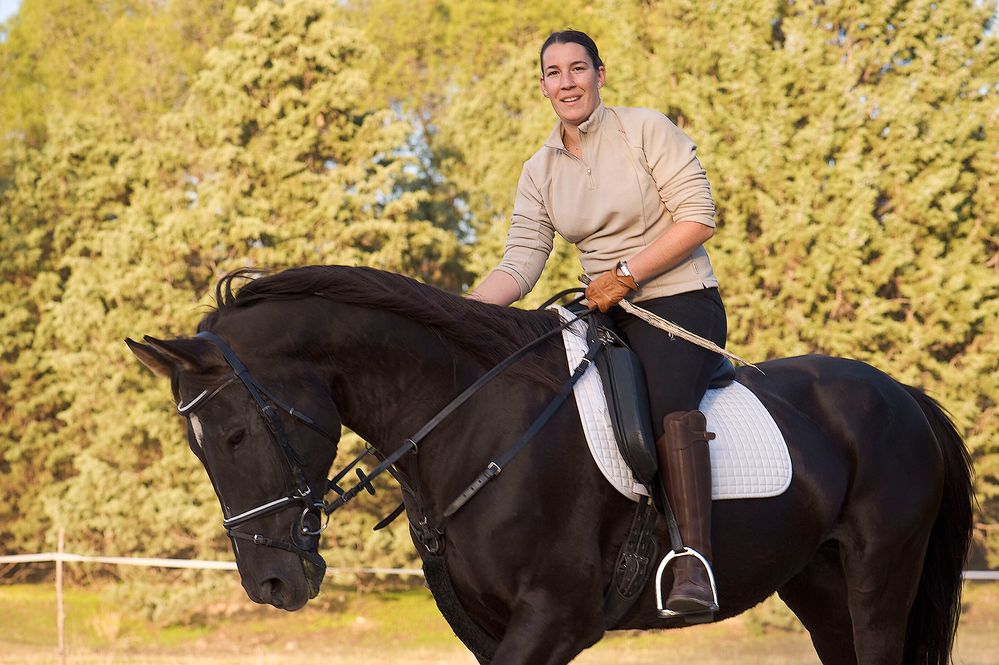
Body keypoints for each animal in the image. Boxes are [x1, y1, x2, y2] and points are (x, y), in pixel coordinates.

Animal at [127, 266, 976, 664]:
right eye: (199, 445)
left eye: (235, 434)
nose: (270, 583)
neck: (467, 419)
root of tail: (902, 395)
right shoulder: (488, 625)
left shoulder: (554, 615)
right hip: (819, 585)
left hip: (879, 577)